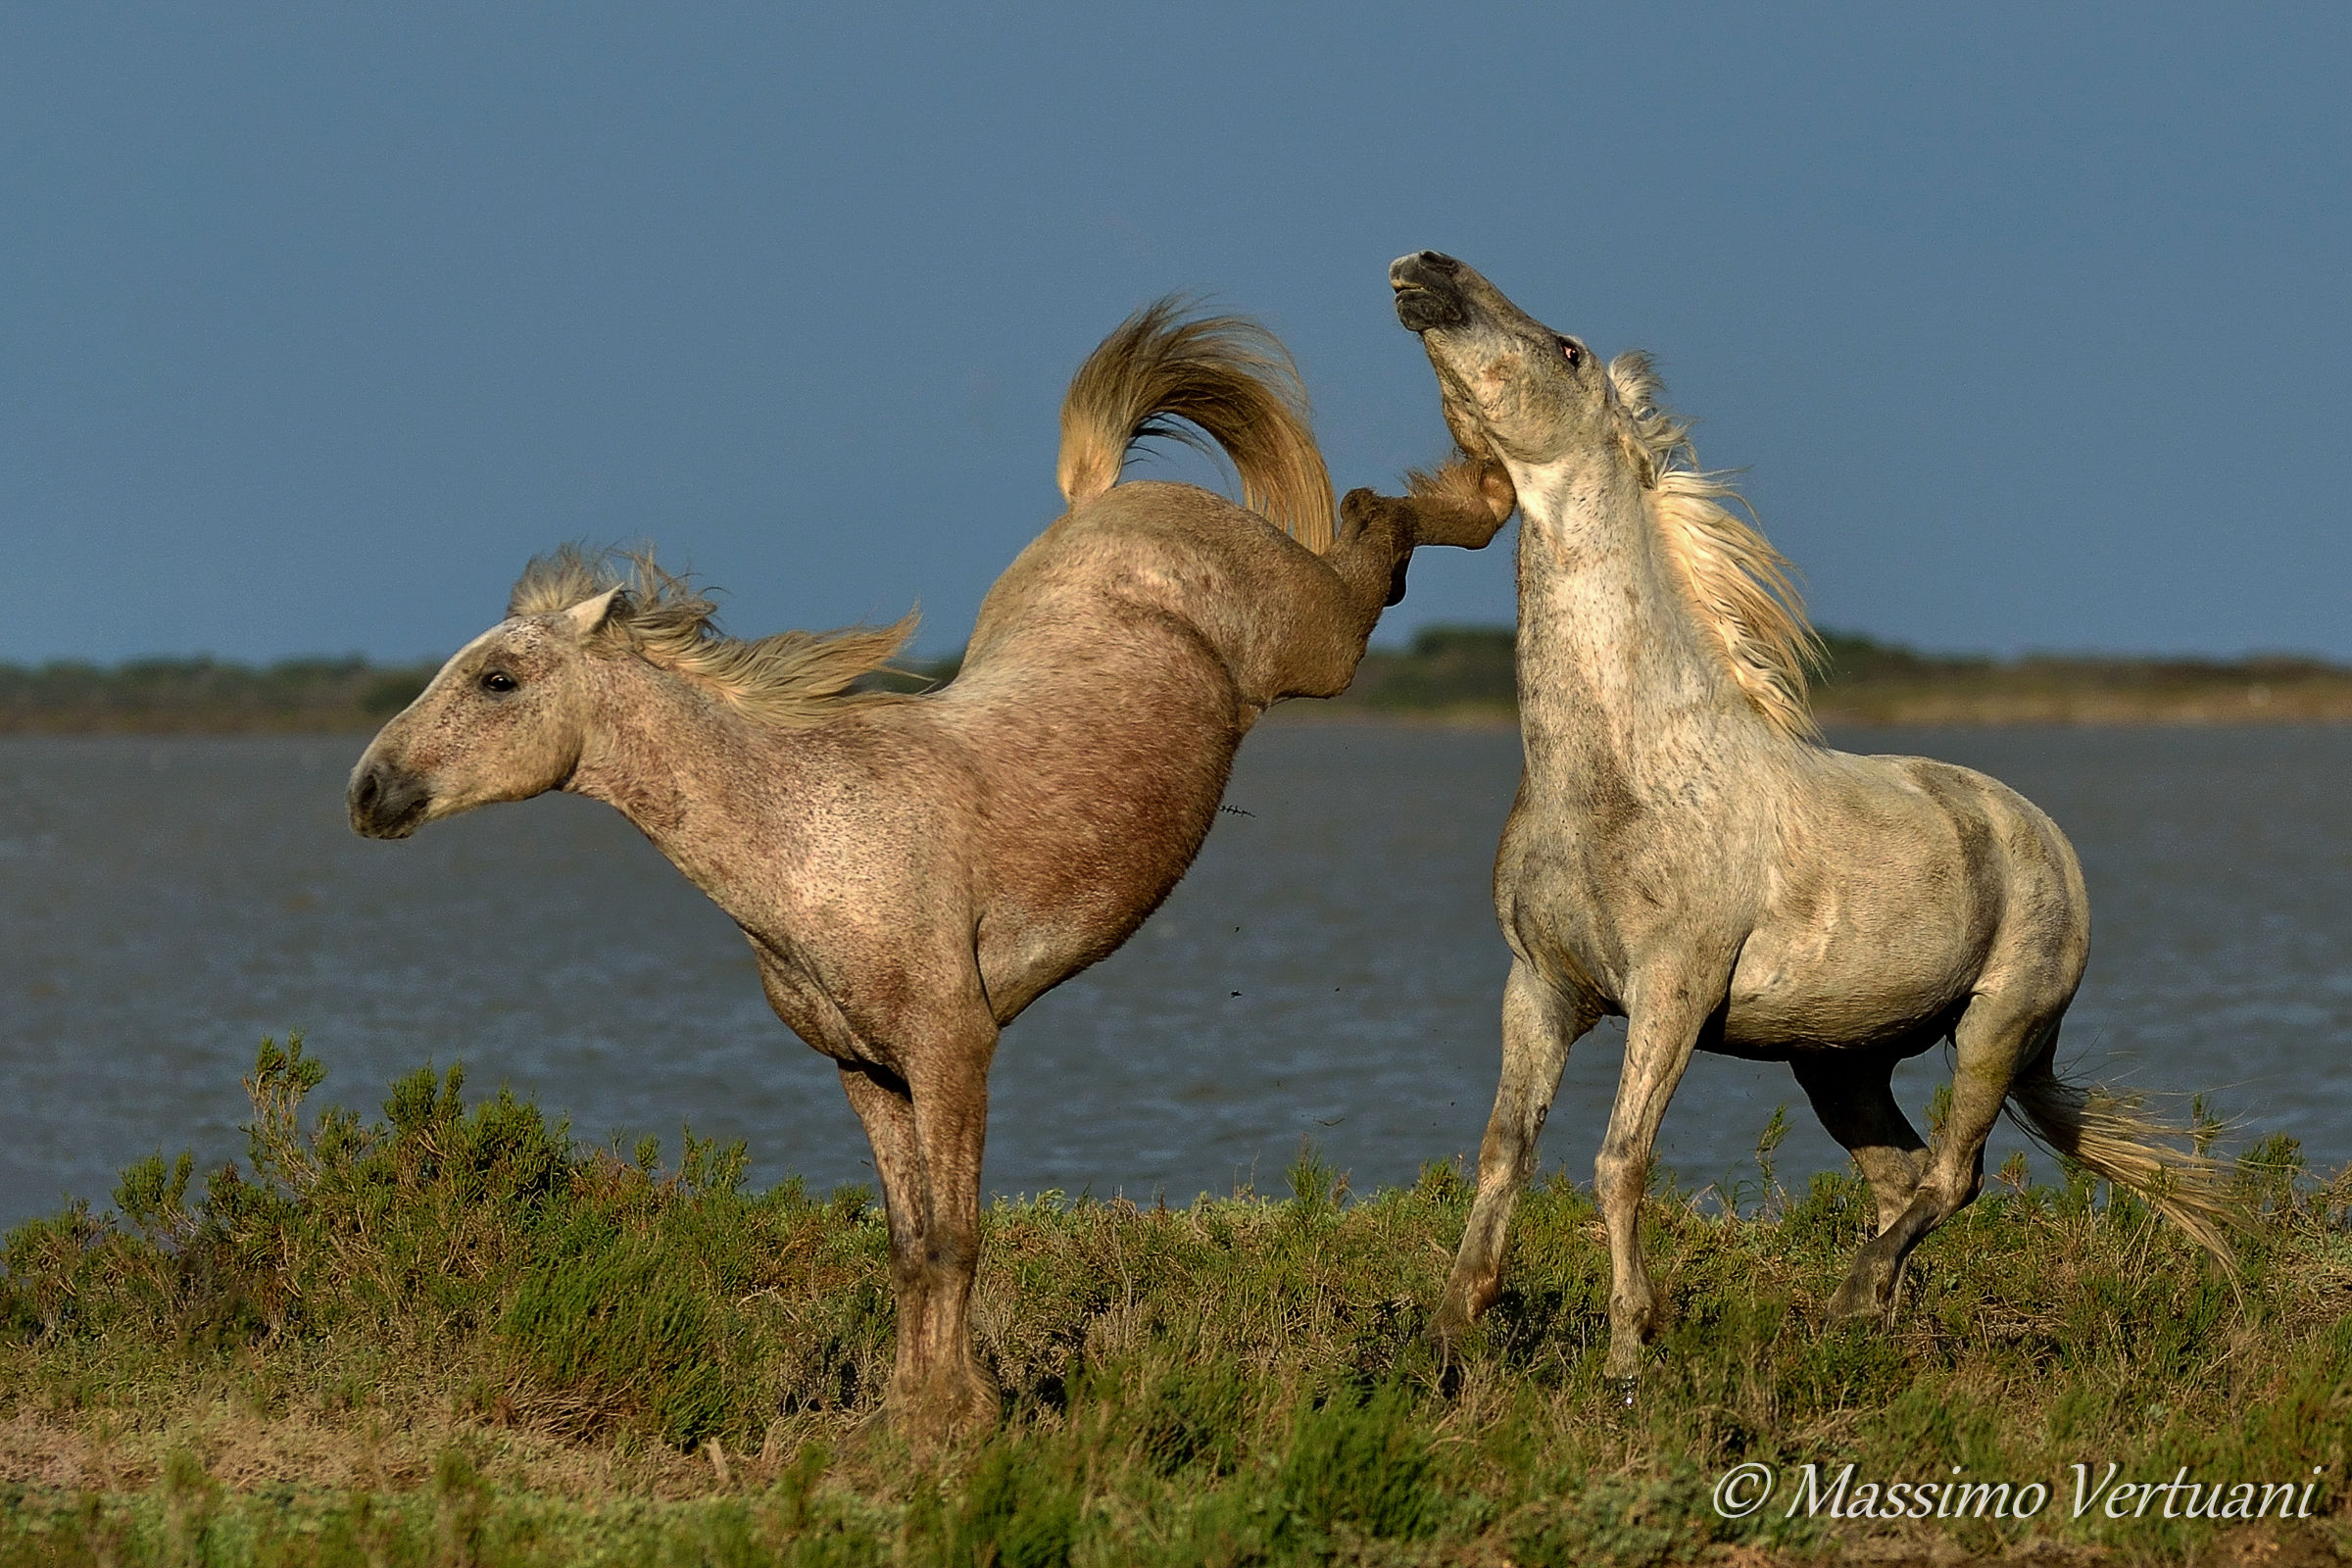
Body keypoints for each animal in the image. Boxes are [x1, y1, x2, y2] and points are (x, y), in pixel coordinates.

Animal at [345, 299, 1511, 1439]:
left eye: (498, 679)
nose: (367, 791)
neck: (809, 841)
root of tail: (1109, 499)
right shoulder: (867, 1070)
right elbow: (909, 1249)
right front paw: (917, 1411)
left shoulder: (955, 1049)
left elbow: (956, 1240)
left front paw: (954, 1422)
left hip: (1317, 644)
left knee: (1374, 526)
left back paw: (1485, 470)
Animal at [1375, 251, 2233, 1387]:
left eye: (1567, 350)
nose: (1424, 270)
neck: (1619, 771)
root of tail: (2044, 833)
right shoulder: (1543, 988)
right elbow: (1502, 1152)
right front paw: (1447, 1340)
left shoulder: (1673, 990)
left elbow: (1618, 1160)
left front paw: (1629, 1355)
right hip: (1841, 1057)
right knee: (1901, 1175)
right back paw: (1876, 1330)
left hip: (1998, 1024)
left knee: (1953, 1173)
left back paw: (1849, 1303)